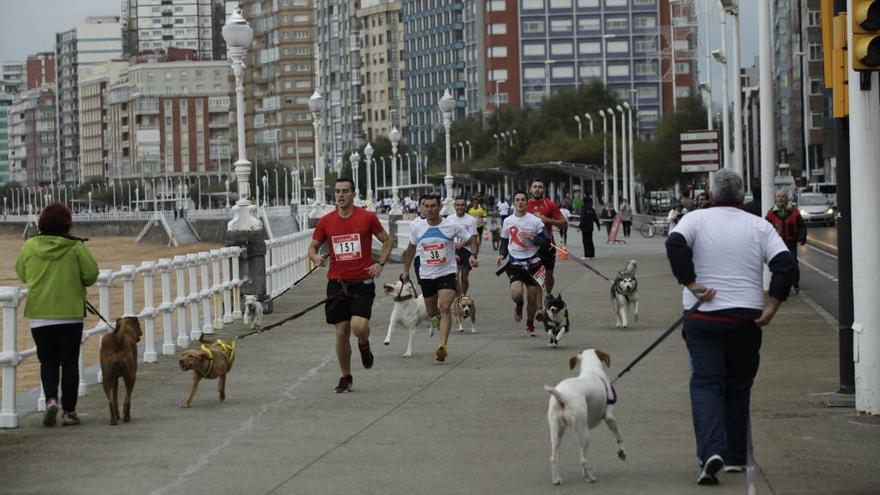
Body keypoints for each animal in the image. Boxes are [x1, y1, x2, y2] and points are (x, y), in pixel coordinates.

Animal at [544, 348, 624, 484]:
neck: (591, 370)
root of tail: (562, 396)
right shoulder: (610, 417)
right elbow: (619, 436)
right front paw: (621, 452)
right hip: (584, 434)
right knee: (582, 460)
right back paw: (590, 477)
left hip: (557, 432)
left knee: (554, 458)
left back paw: (557, 480)